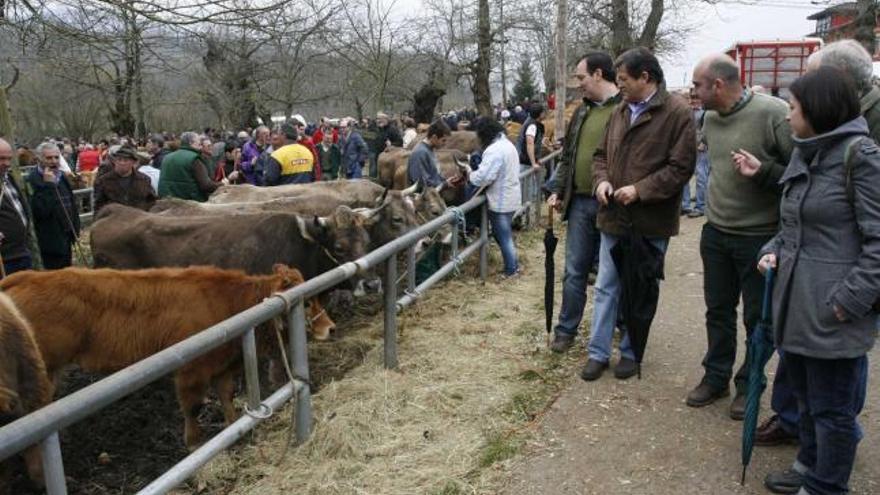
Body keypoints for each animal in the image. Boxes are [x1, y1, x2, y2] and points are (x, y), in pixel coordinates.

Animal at [0, 268, 334, 450]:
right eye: (307, 302)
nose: (330, 327)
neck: (231, 301)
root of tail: (25, 277)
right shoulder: (192, 371)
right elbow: (193, 407)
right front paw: (193, 441)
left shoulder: (223, 367)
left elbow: (227, 396)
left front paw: (233, 425)